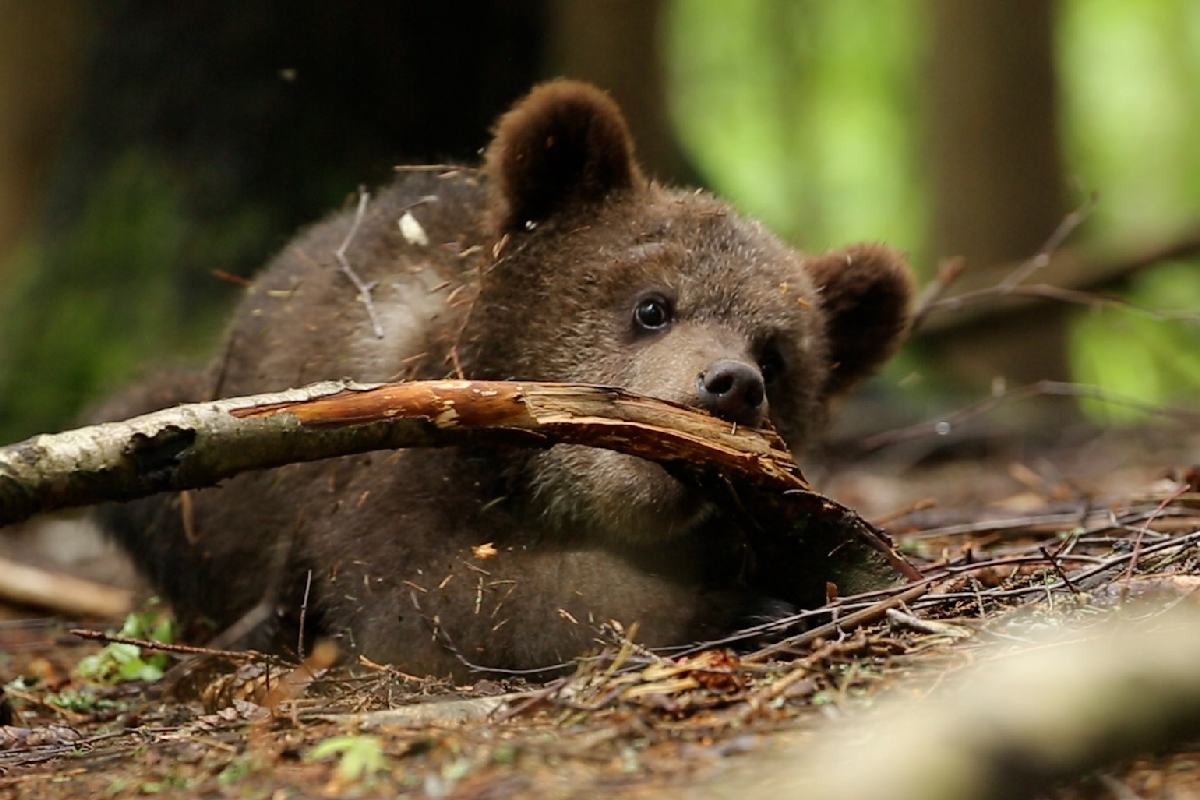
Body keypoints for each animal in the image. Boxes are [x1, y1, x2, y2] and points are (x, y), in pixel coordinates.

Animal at [100, 81, 907, 681]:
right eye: (653, 306)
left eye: (776, 355)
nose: (731, 383)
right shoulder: (393, 458)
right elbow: (434, 592)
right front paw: (736, 603)